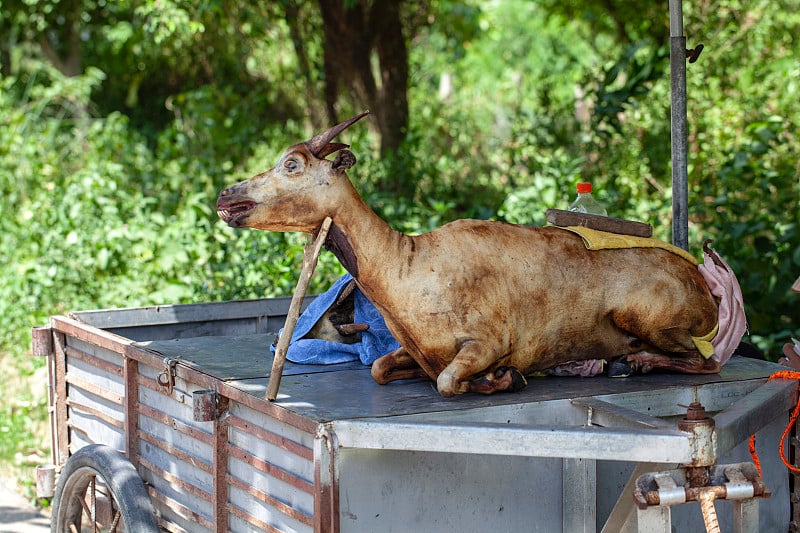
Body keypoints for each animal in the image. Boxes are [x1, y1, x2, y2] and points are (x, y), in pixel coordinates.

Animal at [217, 112, 720, 394]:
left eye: (292, 164)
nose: (227, 194)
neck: (406, 272)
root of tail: (707, 289)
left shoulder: (490, 339)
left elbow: (447, 381)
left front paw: (504, 378)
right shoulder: (413, 350)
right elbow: (379, 367)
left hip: (649, 316)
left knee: (707, 360)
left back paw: (635, 361)